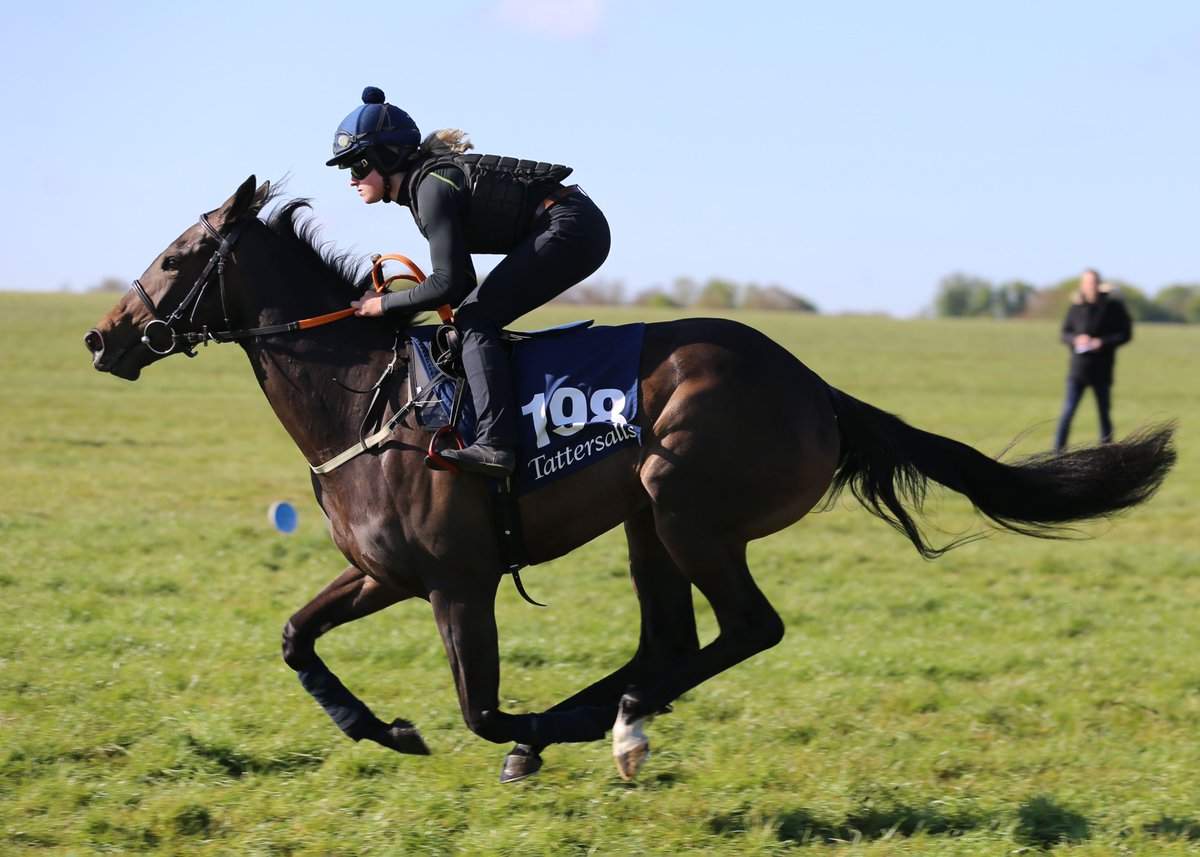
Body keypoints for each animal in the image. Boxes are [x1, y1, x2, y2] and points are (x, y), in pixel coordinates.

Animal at [87, 175, 1180, 782]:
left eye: (178, 254)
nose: (102, 335)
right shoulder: (383, 572)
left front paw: (520, 729)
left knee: (745, 629)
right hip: (645, 521)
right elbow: (294, 635)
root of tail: (817, 388)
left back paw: (598, 724)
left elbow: (482, 708)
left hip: (686, 504)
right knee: (671, 640)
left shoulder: (457, 581)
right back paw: (617, 716)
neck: (366, 401)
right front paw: (377, 726)